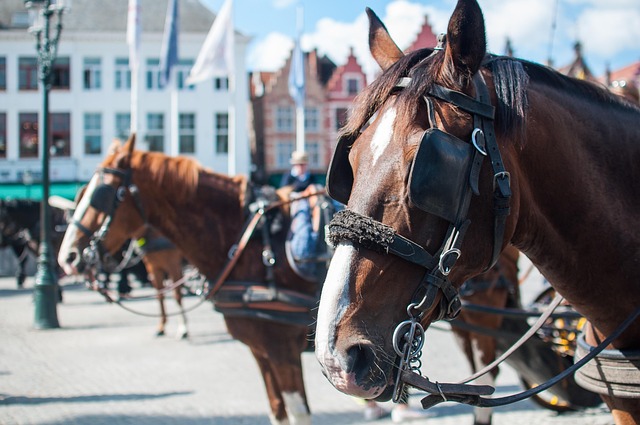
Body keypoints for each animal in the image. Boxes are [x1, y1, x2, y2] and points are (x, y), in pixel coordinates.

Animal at [57, 135, 331, 425]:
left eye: (103, 193)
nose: (68, 256)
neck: (248, 242)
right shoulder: (261, 350)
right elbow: (276, 409)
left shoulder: (282, 349)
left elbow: (298, 412)